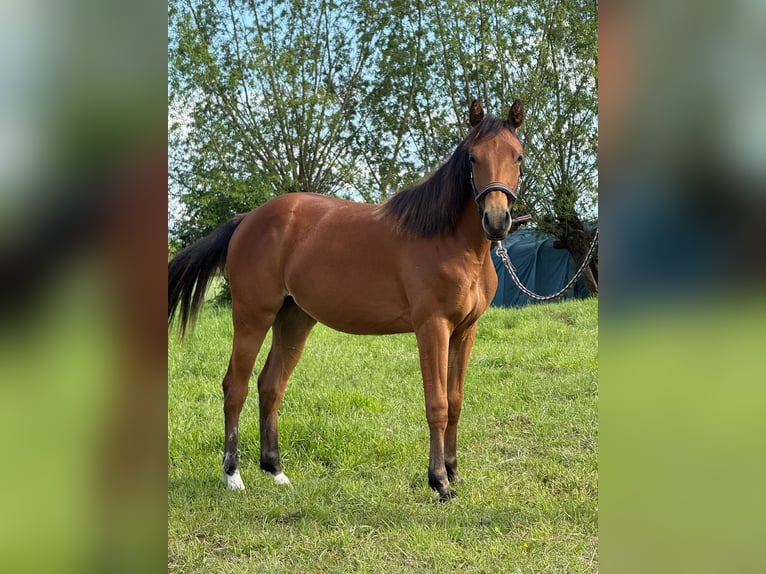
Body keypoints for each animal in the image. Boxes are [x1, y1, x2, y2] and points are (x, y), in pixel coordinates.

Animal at [168, 99, 526, 501]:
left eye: (518, 156)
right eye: (472, 158)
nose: (496, 220)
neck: (450, 241)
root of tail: (247, 219)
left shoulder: (465, 331)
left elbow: (456, 401)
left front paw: (454, 473)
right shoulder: (432, 328)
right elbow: (437, 404)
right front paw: (439, 482)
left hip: (295, 319)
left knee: (270, 386)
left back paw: (275, 470)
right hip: (252, 317)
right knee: (236, 387)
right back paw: (233, 475)